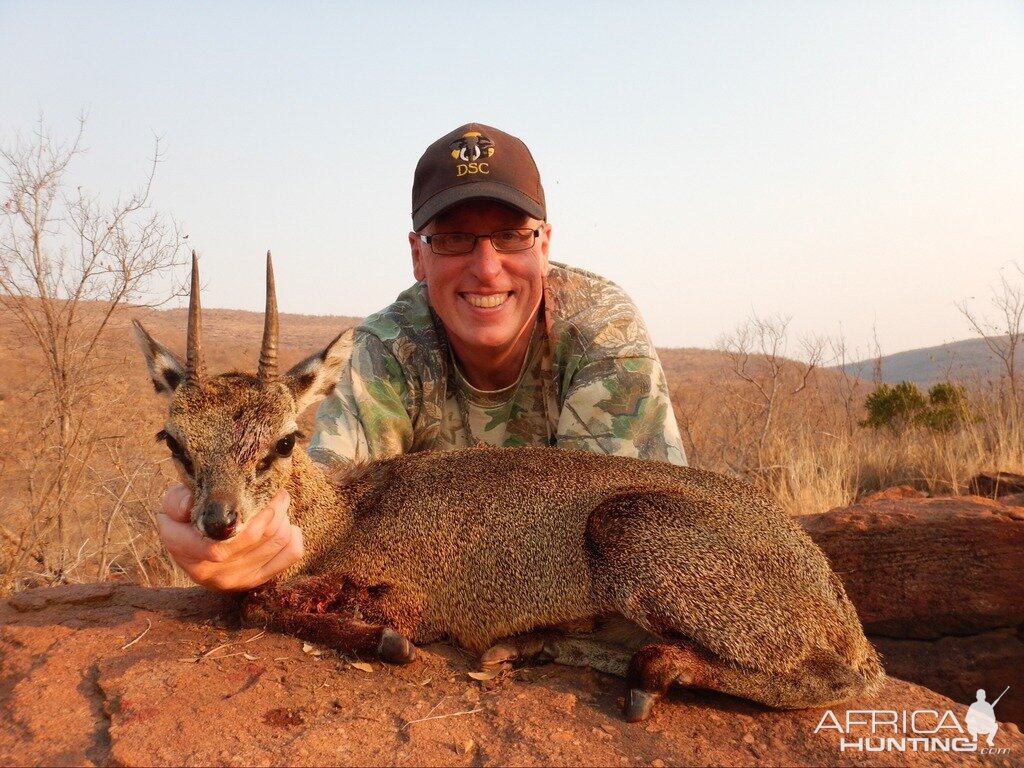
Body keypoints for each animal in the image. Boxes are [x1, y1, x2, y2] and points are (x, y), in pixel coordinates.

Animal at [132, 256, 884, 724]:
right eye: (173, 441)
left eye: (286, 440)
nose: (220, 521)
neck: (339, 517)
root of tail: (835, 603)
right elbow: (258, 602)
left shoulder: (400, 589)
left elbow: (269, 606)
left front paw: (386, 640)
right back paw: (529, 648)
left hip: (633, 530)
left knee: (834, 680)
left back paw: (650, 675)